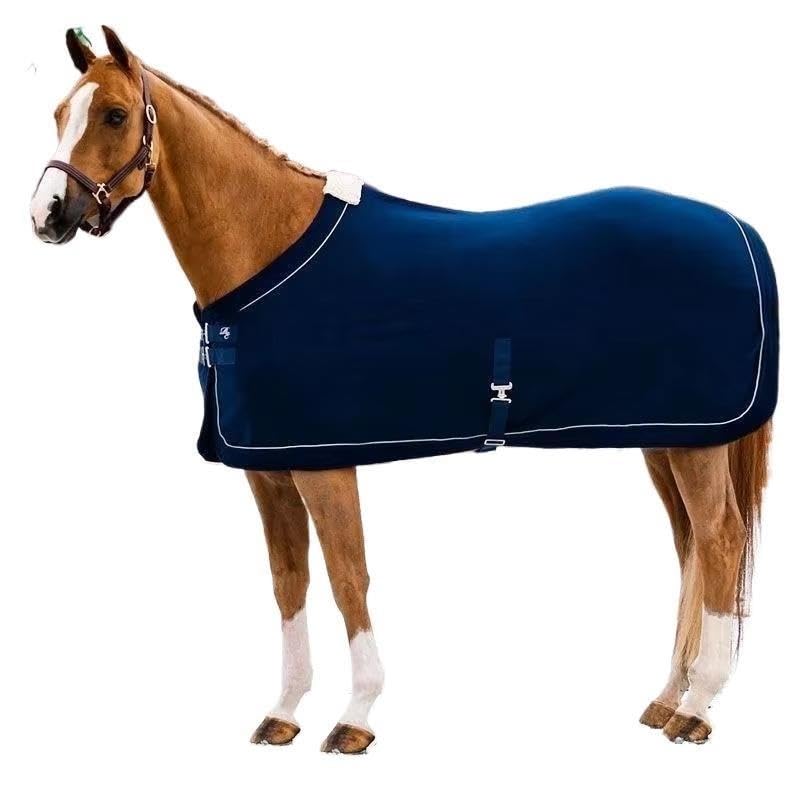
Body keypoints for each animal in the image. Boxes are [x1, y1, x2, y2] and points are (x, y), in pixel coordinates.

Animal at [30, 26, 775, 753]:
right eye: (60, 113)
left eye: (116, 114)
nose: (48, 214)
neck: (269, 248)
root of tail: (741, 231)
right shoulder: (267, 471)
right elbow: (289, 581)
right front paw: (285, 710)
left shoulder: (324, 464)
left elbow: (347, 576)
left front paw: (356, 714)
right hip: (667, 440)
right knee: (690, 548)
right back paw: (669, 697)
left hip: (696, 444)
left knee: (718, 540)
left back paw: (697, 708)